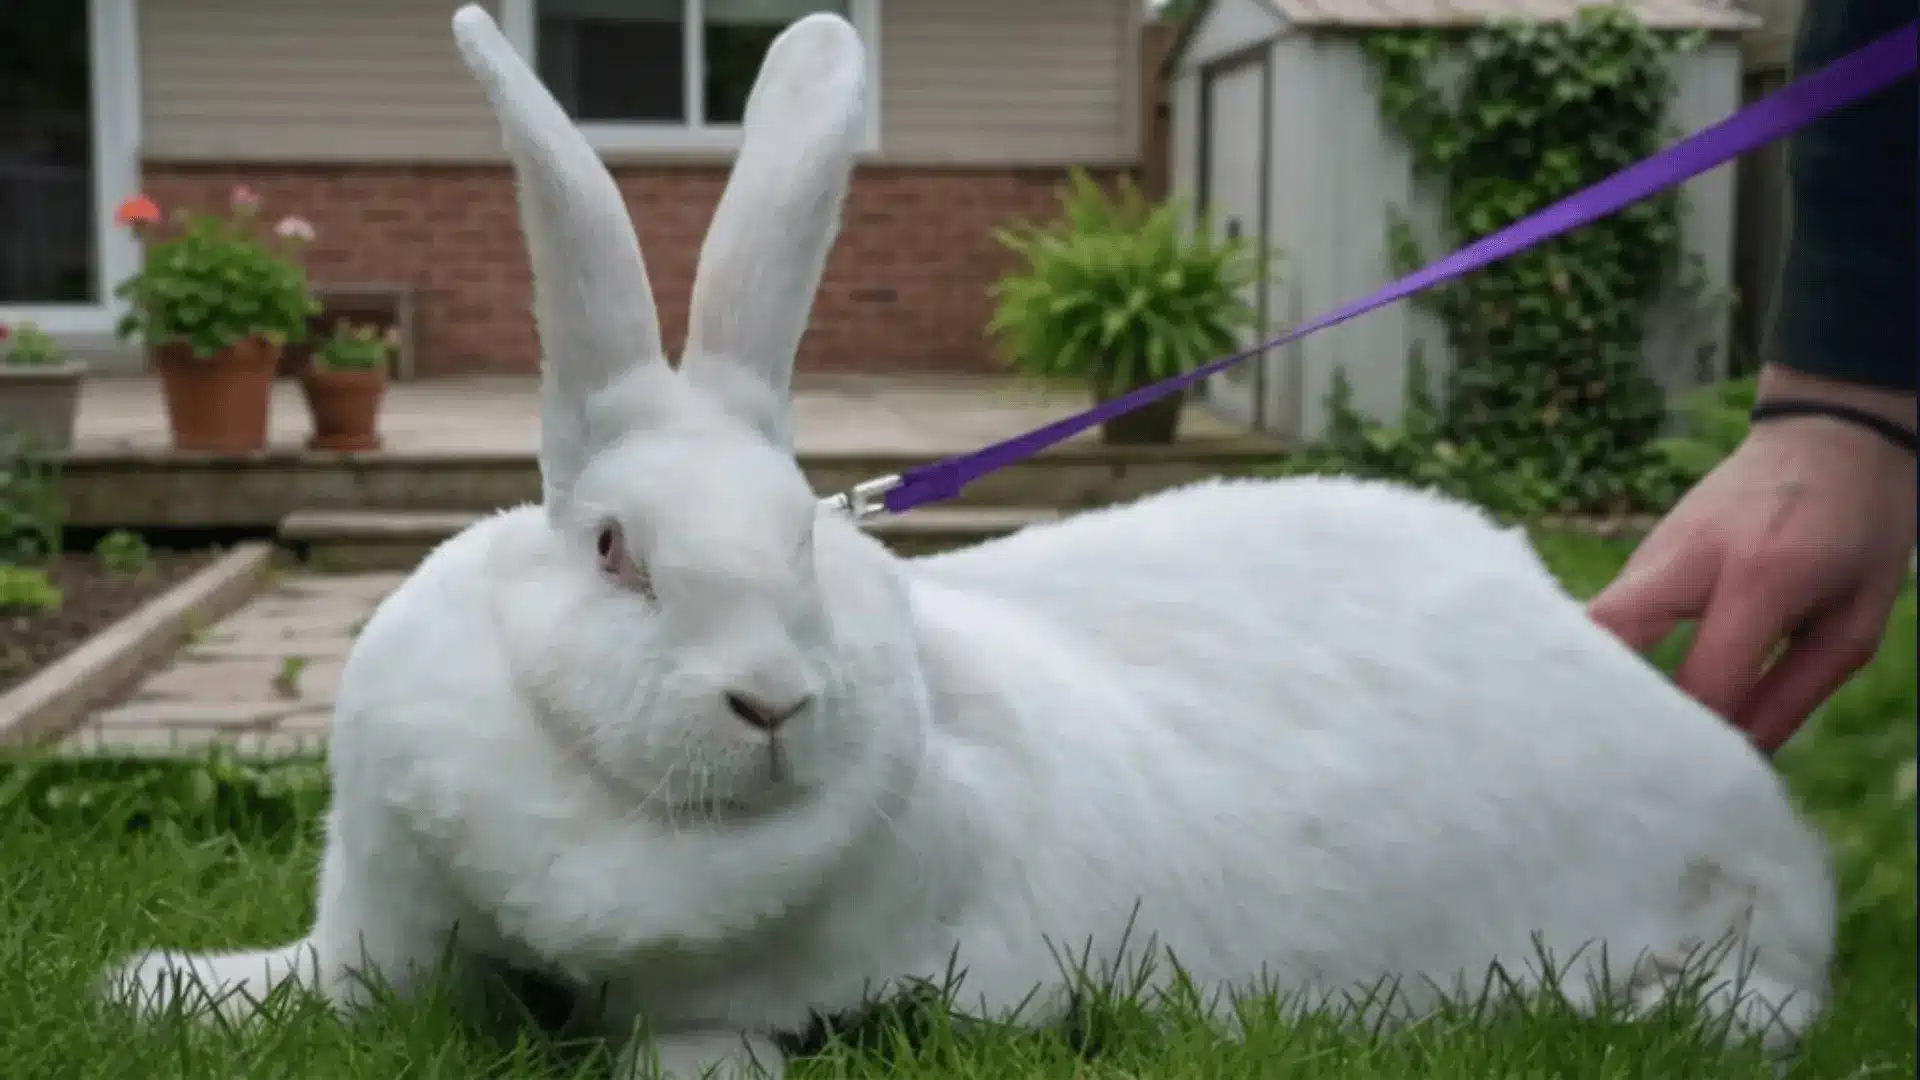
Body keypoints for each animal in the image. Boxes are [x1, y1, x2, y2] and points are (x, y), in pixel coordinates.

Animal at [99, 5, 1837, 1078]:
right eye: (612, 550)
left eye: (804, 548)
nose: (774, 704)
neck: (608, 811)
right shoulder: (375, 932)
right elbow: (313, 985)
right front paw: (153, 990)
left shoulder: (752, 1003)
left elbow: (692, 1049)